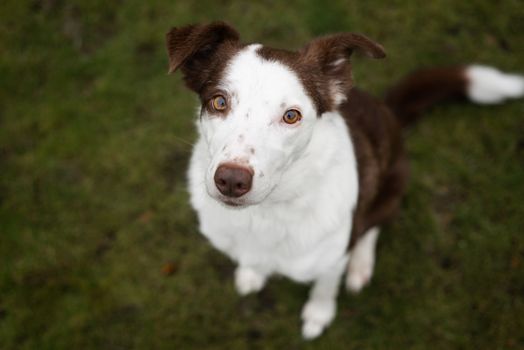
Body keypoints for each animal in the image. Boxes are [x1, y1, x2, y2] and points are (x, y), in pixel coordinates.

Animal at [165, 21, 524, 340]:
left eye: (291, 116)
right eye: (219, 102)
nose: (231, 181)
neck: (267, 213)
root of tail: (389, 113)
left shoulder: (333, 258)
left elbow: (325, 287)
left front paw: (318, 315)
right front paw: (251, 273)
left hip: (392, 189)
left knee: (373, 225)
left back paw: (360, 265)